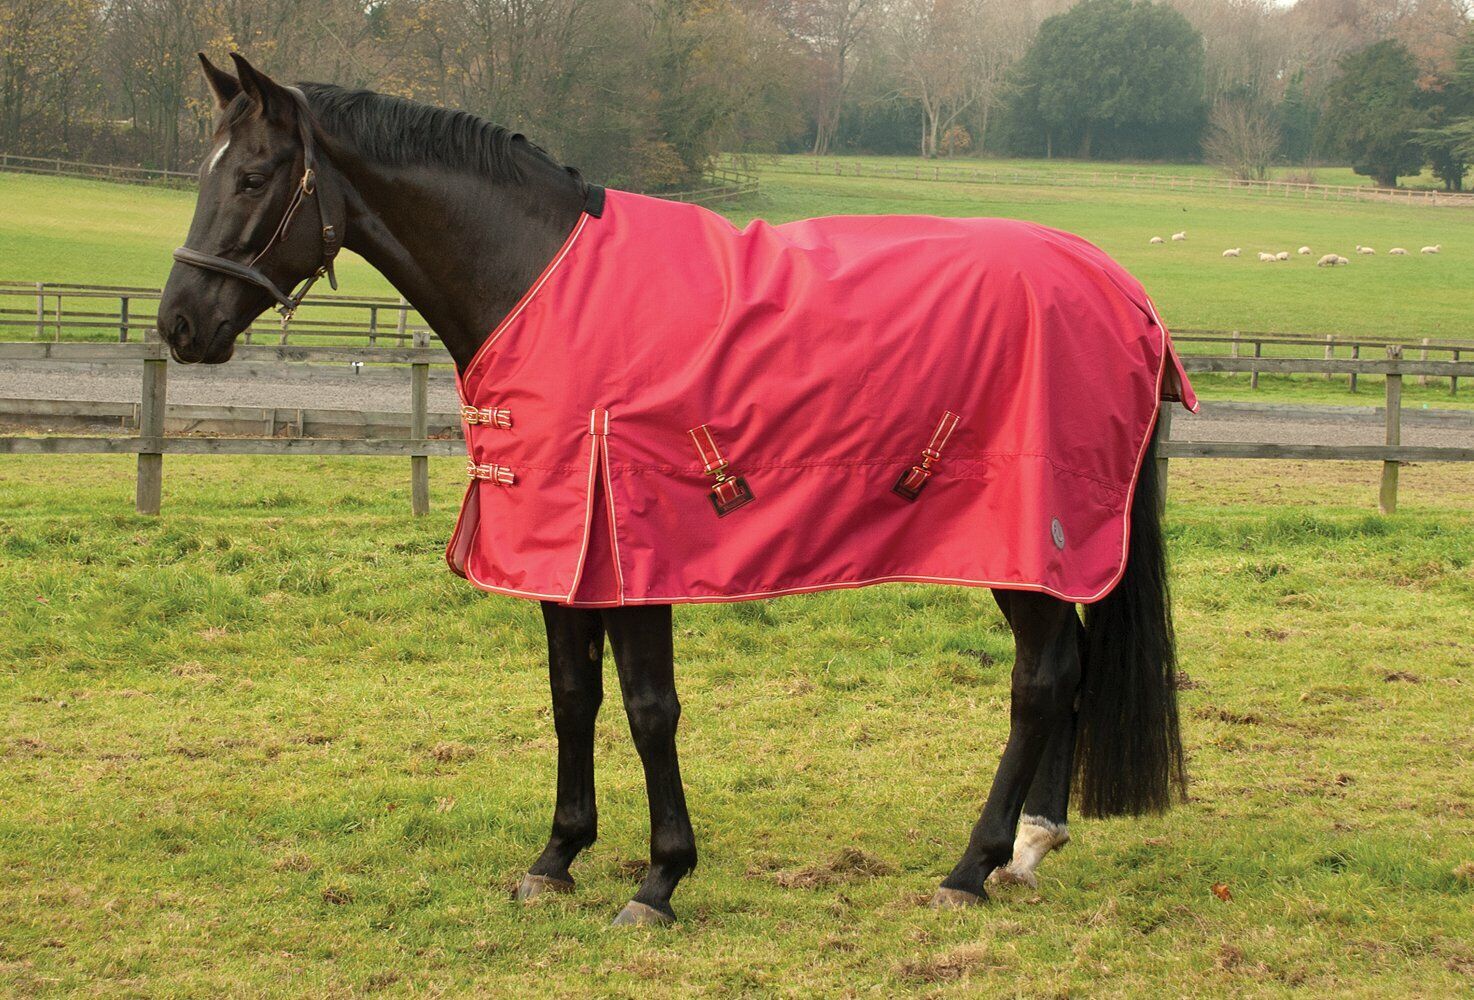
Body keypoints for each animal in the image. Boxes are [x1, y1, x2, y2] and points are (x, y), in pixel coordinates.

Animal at [158, 53, 1188, 927]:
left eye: (253, 178)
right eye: (209, 174)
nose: (178, 324)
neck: (537, 281)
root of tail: (1125, 291)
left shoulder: (630, 551)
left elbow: (651, 710)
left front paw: (659, 879)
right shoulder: (558, 546)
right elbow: (572, 695)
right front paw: (557, 858)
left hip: (1026, 537)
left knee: (1040, 678)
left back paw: (971, 867)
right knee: (1069, 666)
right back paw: (1030, 847)